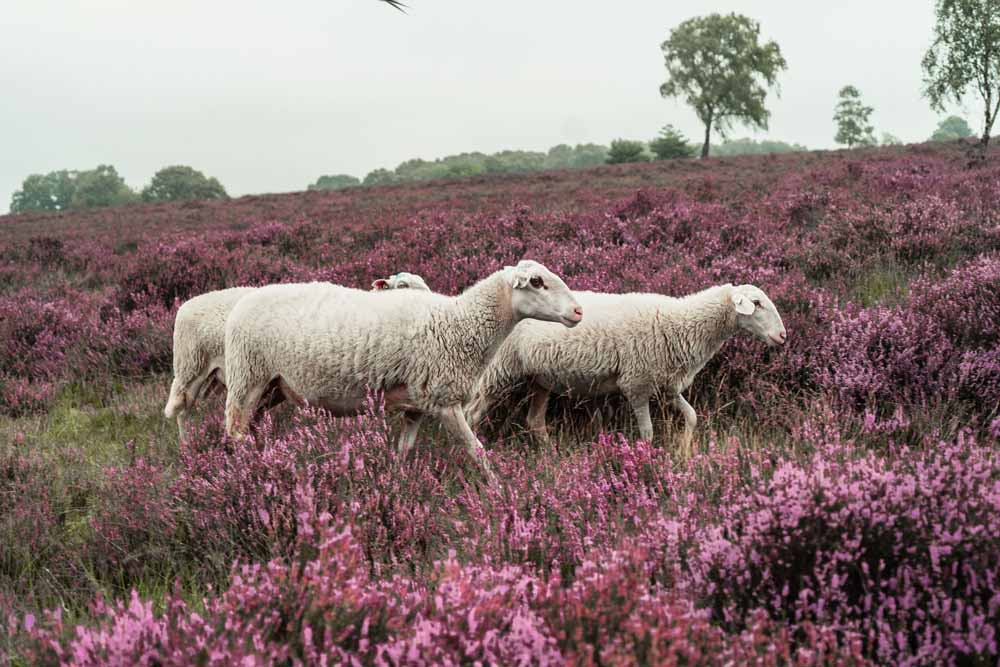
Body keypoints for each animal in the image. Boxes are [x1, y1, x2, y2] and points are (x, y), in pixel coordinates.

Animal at [219, 258, 580, 482]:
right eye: (537, 282)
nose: (578, 311)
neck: (460, 322)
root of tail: (242, 301)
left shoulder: (416, 404)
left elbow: (403, 451)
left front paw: (395, 483)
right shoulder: (444, 399)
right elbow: (476, 450)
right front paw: (498, 488)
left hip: (273, 387)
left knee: (251, 427)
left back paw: (263, 462)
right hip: (247, 377)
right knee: (235, 431)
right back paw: (248, 472)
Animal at [464, 284, 784, 452]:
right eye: (757, 303)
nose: (782, 336)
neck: (681, 322)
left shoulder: (666, 385)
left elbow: (692, 416)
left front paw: (683, 449)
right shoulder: (637, 383)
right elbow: (648, 432)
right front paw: (646, 461)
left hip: (540, 378)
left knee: (534, 420)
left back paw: (550, 455)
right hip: (498, 371)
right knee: (472, 414)